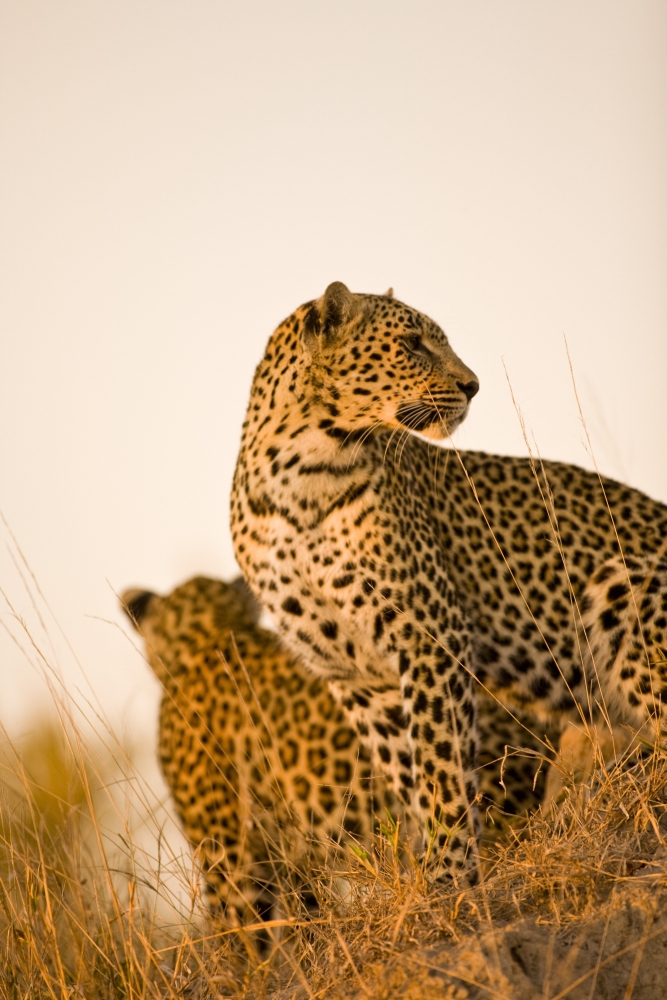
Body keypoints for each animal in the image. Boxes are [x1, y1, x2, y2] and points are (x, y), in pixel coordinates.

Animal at [230, 280, 667, 873]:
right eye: (412, 344)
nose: (474, 386)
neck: (303, 474)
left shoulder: (431, 633)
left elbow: (440, 757)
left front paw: (449, 867)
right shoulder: (354, 673)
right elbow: (408, 769)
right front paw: (445, 865)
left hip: (627, 586)